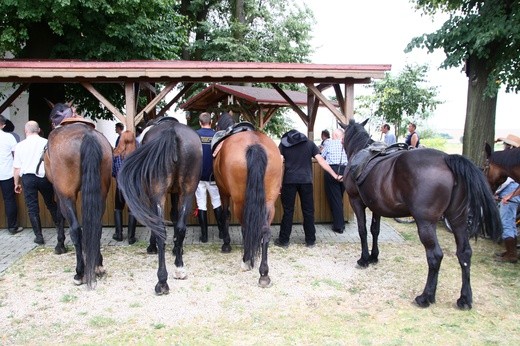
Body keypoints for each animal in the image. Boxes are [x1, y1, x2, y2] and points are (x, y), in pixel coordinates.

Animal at [44, 103, 112, 290]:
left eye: (52, 117)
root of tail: (87, 135)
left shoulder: (58, 191)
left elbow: (59, 217)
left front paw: (59, 245)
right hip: (101, 193)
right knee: (96, 225)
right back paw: (97, 265)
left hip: (67, 194)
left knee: (75, 229)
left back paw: (80, 272)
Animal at [117, 117, 202, 294]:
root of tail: (172, 130)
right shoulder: (176, 192)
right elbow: (175, 216)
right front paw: (177, 249)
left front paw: (152, 246)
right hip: (188, 190)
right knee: (181, 227)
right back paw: (179, 268)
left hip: (158, 193)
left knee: (160, 228)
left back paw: (162, 281)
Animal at [211, 120, 282, 288]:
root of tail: (255, 145)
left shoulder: (223, 191)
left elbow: (225, 215)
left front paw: (226, 244)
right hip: (269, 202)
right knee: (264, 231)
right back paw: (264, 274)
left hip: (239, 201)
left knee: (245, 227)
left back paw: (247, 261)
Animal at [340, 120, 502, 310]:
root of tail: (447, 159)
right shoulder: (376, 208)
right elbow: (375, 230)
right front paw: (374, 257)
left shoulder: (356, 201)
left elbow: (362, 231)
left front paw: (364, 259)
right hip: (458, 220)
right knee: (464, 253)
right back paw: (465, 299)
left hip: (425, 223)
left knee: (435, 256)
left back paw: (425, 297)